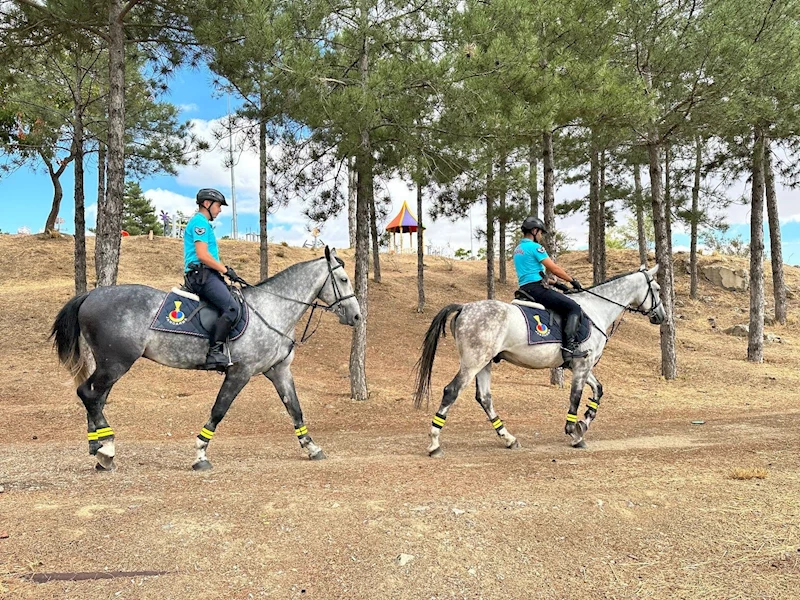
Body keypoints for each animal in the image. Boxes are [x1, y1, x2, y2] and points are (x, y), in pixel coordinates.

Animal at [50, 246, 360, 472]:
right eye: (344, 279)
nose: (357, 316)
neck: (272, 309)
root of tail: (91, 295)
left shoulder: (278, 370)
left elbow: (295, 409)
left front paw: (312, 447)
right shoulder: (240, 372)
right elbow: (218, 411)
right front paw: (200, 455)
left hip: (110, 364)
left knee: (95, 397)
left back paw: (99, 448)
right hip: (115, 363)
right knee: (89, 394)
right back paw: (107, 449)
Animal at [416, 264, 664, 458]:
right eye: (658, 289)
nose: (661, 316)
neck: (595, 309)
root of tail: (464, 307)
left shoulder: (581, 365)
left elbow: (598, 391)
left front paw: (583, 423)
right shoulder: (582, 366)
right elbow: (575, 397)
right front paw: (574, 432)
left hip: (484, 363)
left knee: (485, 398)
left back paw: (509, 439)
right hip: (473, 363)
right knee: (451, 391)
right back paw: (434, 443)